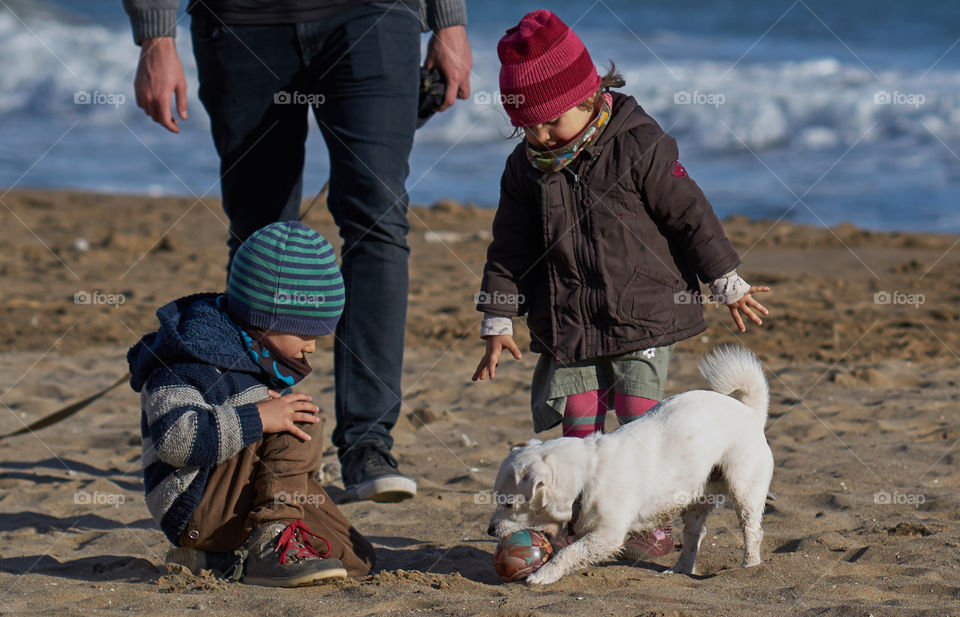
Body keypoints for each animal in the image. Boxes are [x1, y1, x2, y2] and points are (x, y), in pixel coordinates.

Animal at [492, 346, 776, 584]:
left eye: (508, 504)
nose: (490, 530)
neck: (586, 476)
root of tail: (750, 413)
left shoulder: (607, 535)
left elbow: (570, 552)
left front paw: (544, 574)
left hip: (743, 489)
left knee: (752, 531)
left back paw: (749, 565)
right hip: (695, 499)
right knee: (694, 535)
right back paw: (680, 569)